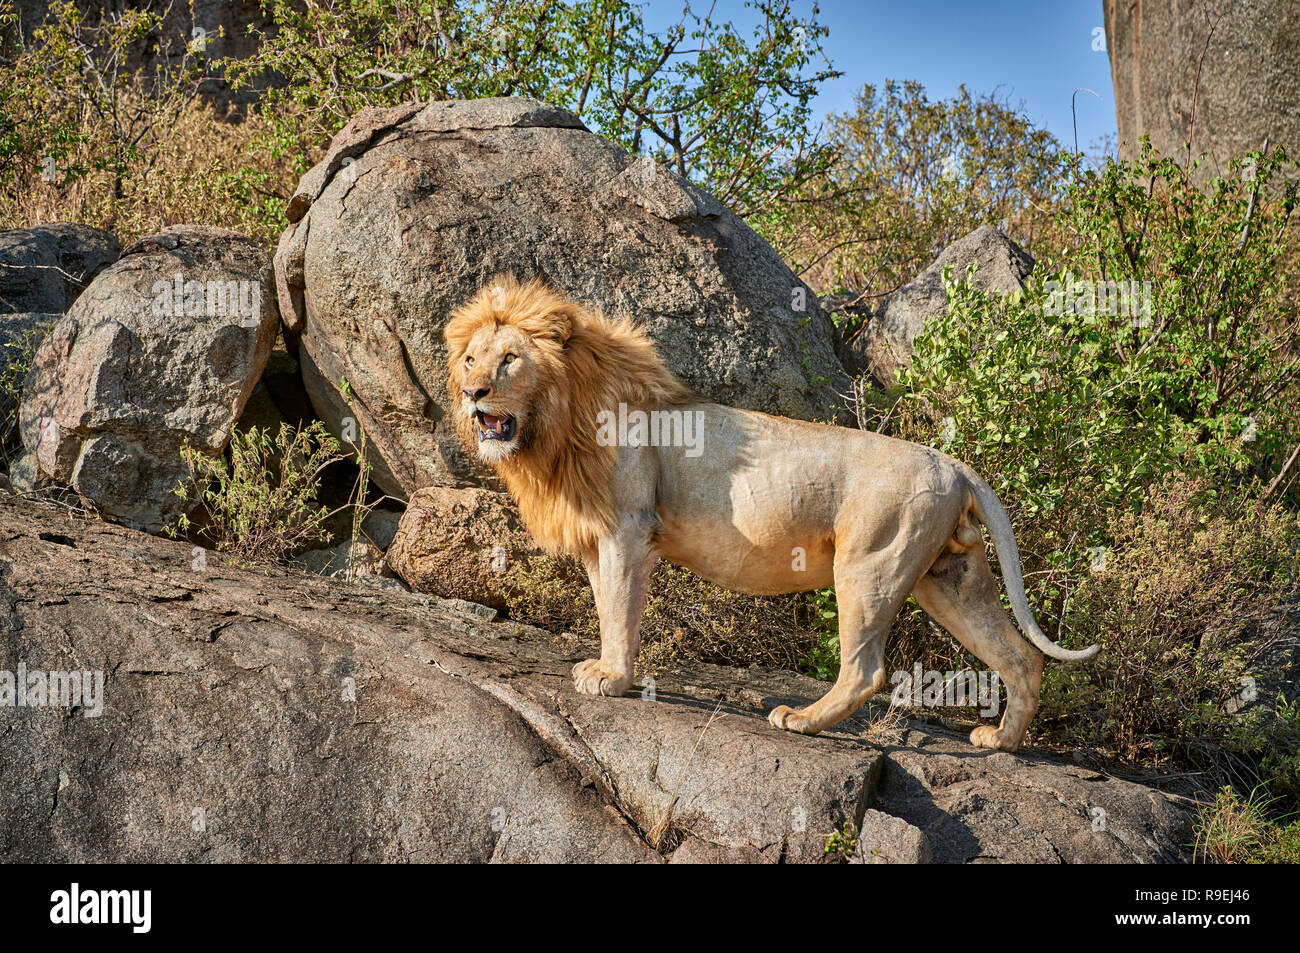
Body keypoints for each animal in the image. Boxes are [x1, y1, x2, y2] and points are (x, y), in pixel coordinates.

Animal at [444, 273, 1097, 748]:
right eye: (472, 360)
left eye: (510, 359)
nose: (473, 394)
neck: (558, 425)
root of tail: (955, 466)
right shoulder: (595, 536)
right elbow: (607, 605)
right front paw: (603, 669)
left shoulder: (628, 528)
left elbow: (622, 612)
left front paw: (614, 679)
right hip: (948, 576)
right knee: (1019, 657)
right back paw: (1000, 742)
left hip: (870, 563)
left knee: (867, 669)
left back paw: (800, 720)